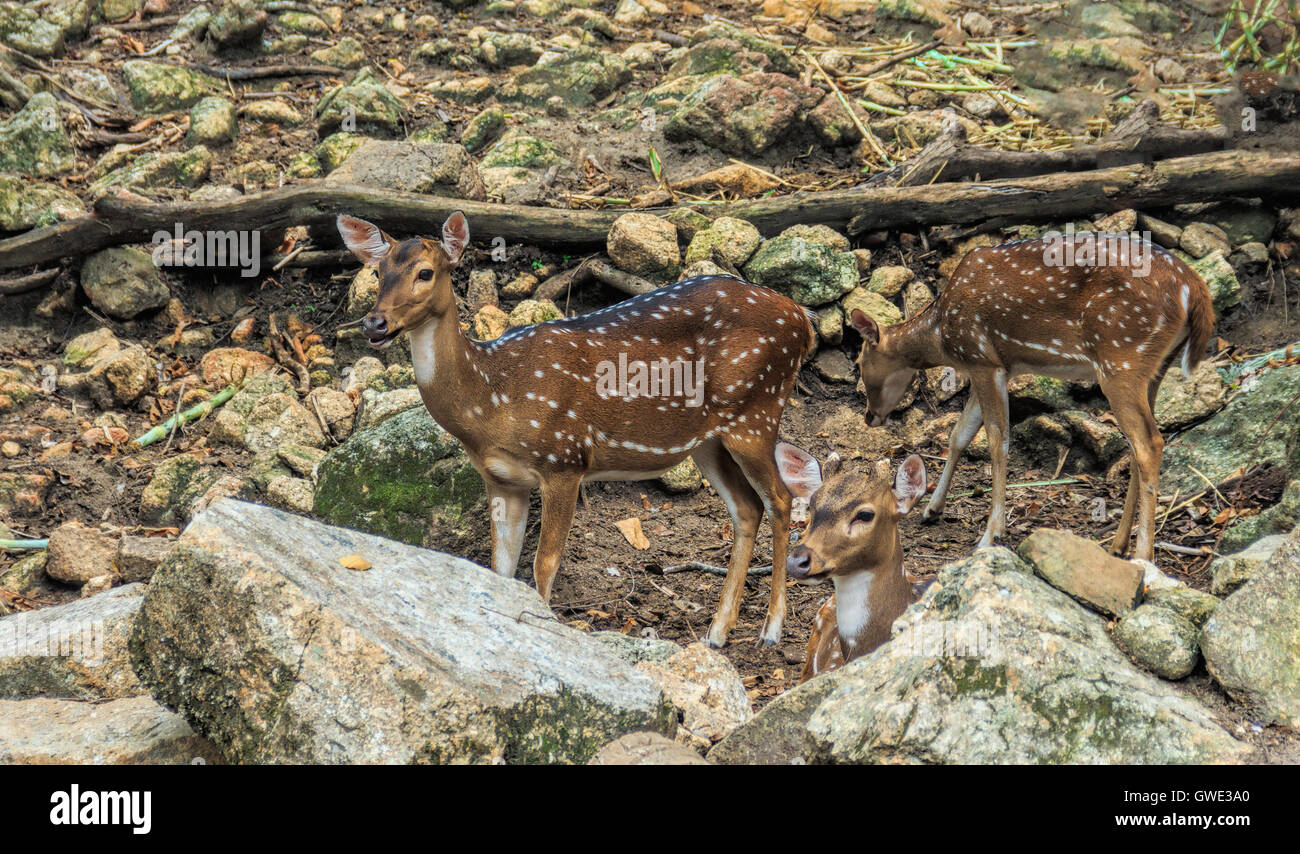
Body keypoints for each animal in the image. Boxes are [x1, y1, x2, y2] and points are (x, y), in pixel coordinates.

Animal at [340, 211, 816, 647]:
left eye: (425, 272)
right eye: (378, 272)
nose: (374, 323)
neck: (491, 402)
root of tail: (802, 319)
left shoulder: (564, 458)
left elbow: (544, 563)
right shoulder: (502, 480)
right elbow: (501, 568)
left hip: (757, 410)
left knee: (781, 500)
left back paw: (771, 630)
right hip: (709, 439)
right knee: (747, 508)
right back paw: (716, 633)